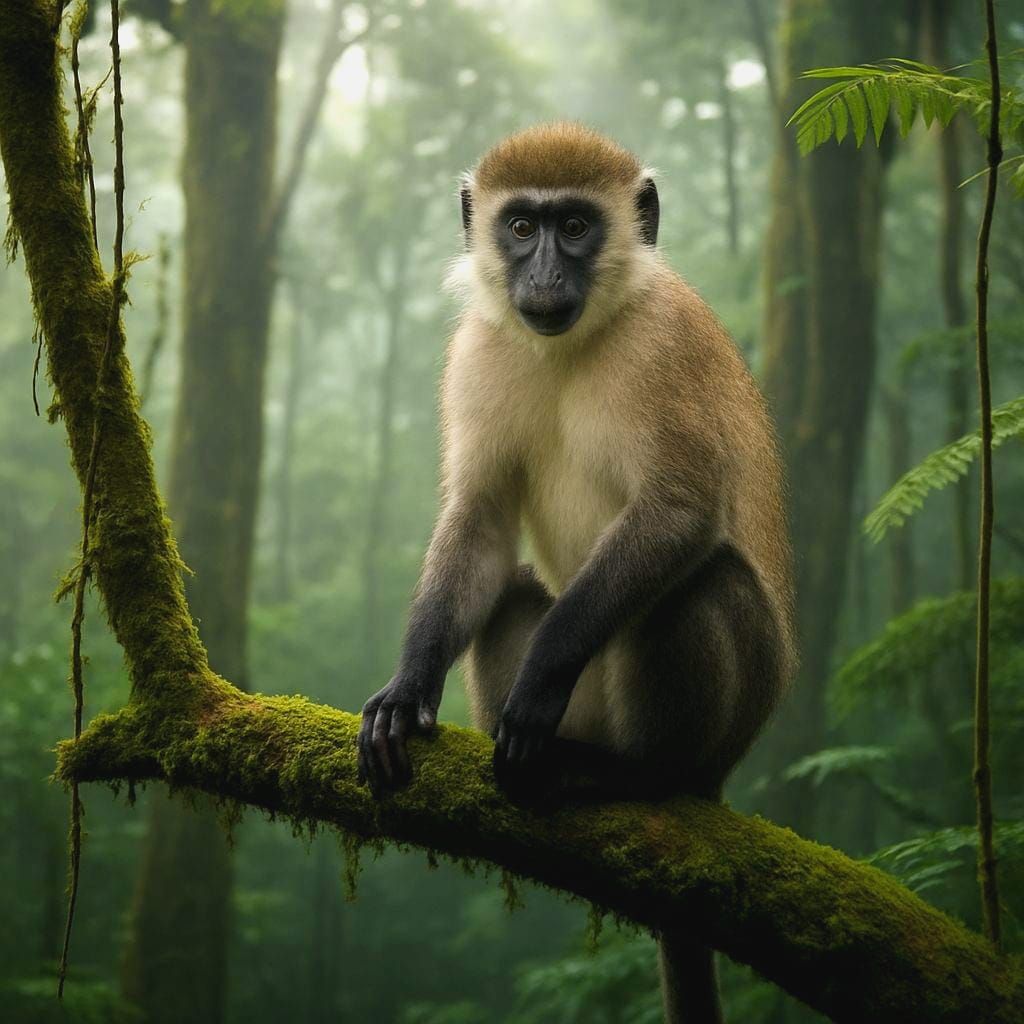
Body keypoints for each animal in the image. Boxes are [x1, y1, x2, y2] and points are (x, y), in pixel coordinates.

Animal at [357, 122, 796, 1024]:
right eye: (523, 227)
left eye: (576, 227)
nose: (547, 276)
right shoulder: (480, 349)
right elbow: (484, 524)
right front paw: (407, 689)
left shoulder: (663, 343)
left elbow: (680, 514)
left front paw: (537, 681)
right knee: (518, 590)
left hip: (732, 718)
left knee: (701, 582)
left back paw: (637, 775)